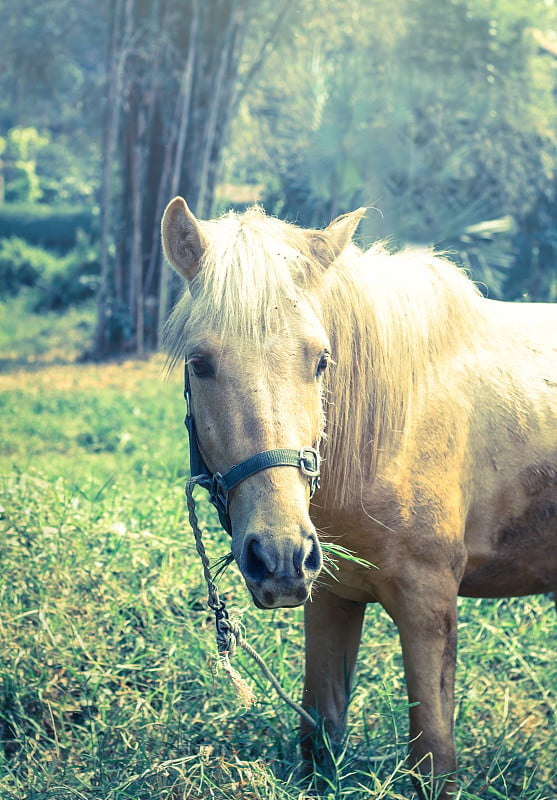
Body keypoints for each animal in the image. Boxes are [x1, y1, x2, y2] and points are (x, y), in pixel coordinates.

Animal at [161, 195, 556, 800]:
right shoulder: (331, 599)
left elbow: (434, 760)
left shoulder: (428, 605)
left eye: (321, 361)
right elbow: (321, 736)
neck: (394, 434)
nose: (278, 555)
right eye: (200, 362)